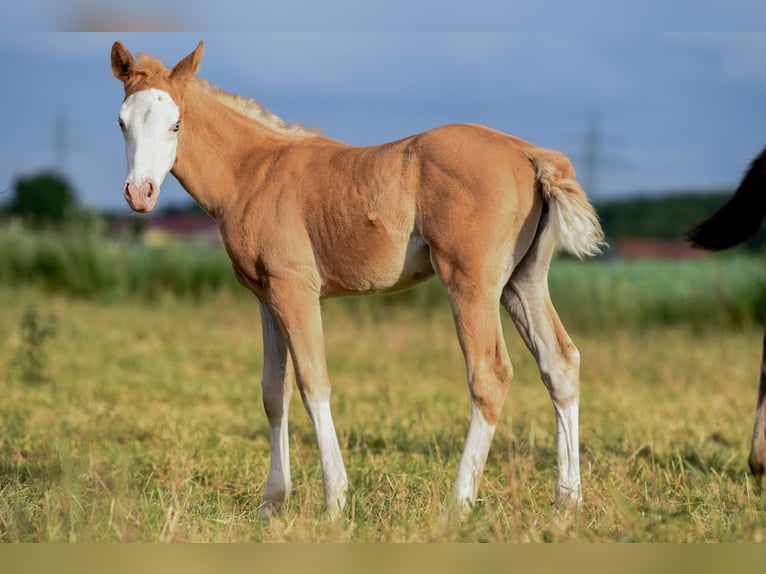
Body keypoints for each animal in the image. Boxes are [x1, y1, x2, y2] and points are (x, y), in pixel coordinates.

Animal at [110, 40, 604, 519]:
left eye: (176, 124)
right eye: (121, 123)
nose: (140, 194)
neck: (253, 171)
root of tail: (528, 153)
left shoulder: (296, 290)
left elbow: (313, 383)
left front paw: (335, 501)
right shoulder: (266, 297)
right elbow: (274, 392)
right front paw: (271, 504)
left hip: (472, 283)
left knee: (489, 374)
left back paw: (457, 506)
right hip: (523, 282)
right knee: (560, 363)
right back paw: (567, 502)